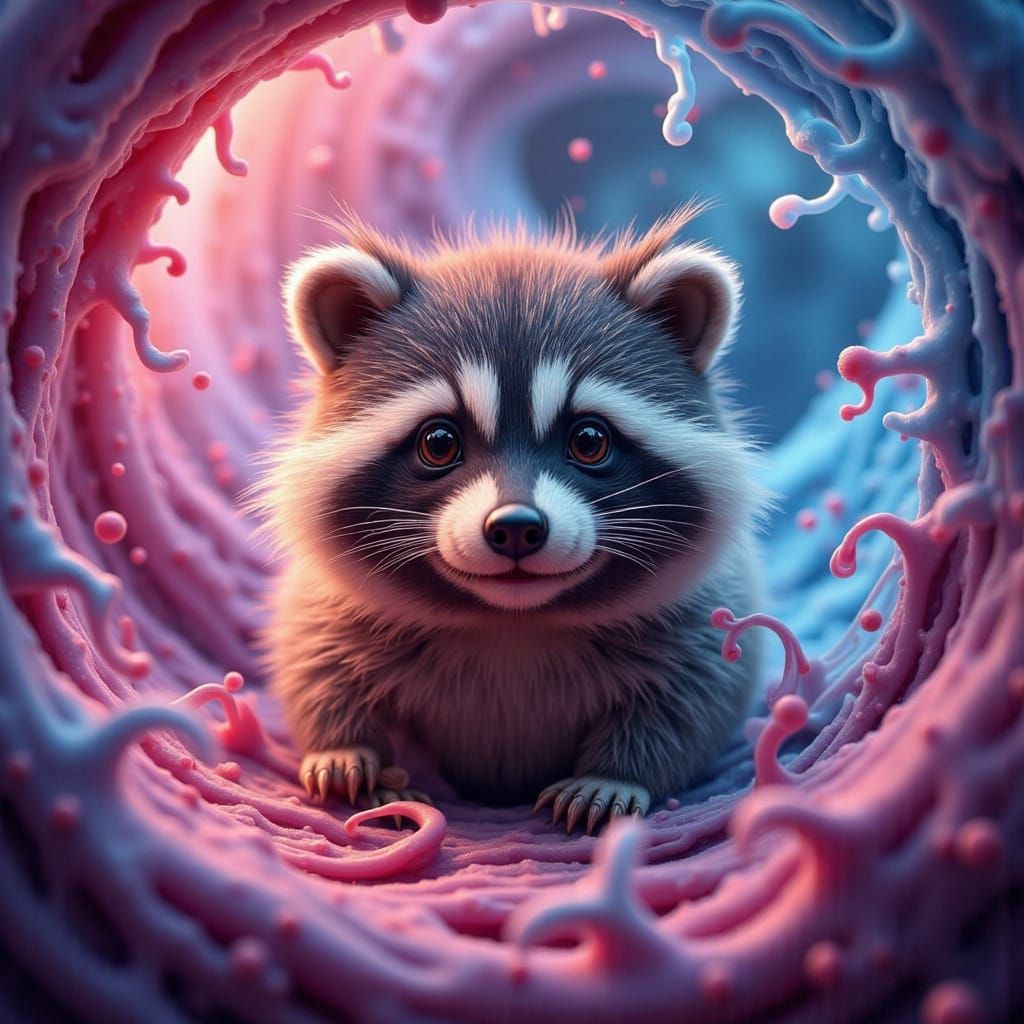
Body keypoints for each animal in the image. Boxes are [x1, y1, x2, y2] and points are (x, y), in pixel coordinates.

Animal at [257, 204, 765, 834]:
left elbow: (701, 691)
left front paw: (615, 775)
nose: (517, 527)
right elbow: (312, 655)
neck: (511, 622)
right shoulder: (330, 599)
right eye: (440, 442)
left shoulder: (705, 604)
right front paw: (347, 749)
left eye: (590, 440)